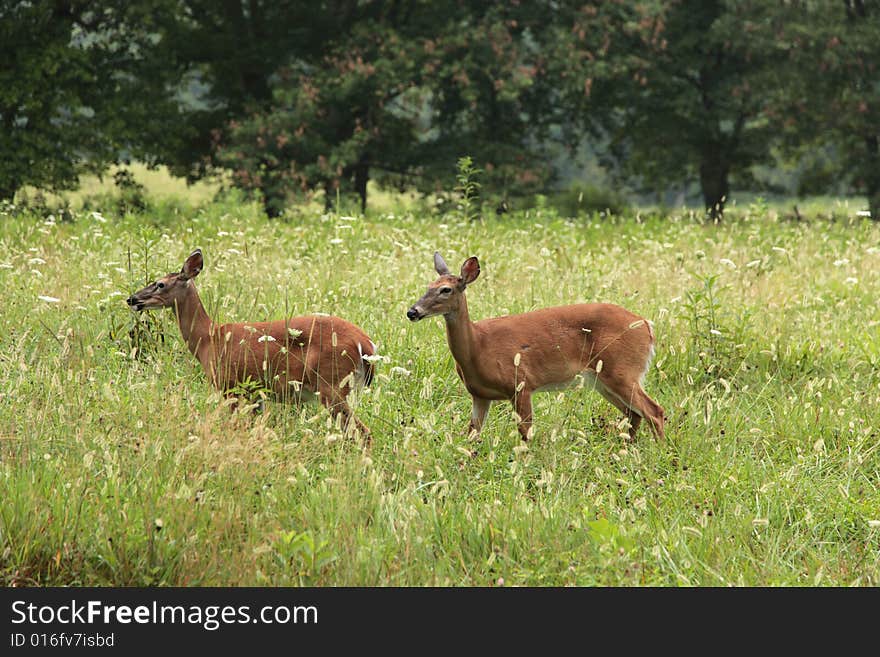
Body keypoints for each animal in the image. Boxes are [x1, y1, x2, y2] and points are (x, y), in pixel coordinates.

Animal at [127, 249, 374, 438]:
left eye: (160, 284)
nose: (132, 299)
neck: (209, 338)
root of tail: (366, 344)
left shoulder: (229, 385)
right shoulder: (255, 393)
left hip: (332, 384)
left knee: (364, 432)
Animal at [408, 251, 668, 440]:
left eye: (445, 289)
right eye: (428, 286)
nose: (412, 311)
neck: (478, 347)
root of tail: (647, 326)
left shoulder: (522, 383)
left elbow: (526, 433)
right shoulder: (480, 395)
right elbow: (472, 434)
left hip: (622, 371)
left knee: (654, 411)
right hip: (603, 379)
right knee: (633, 414)